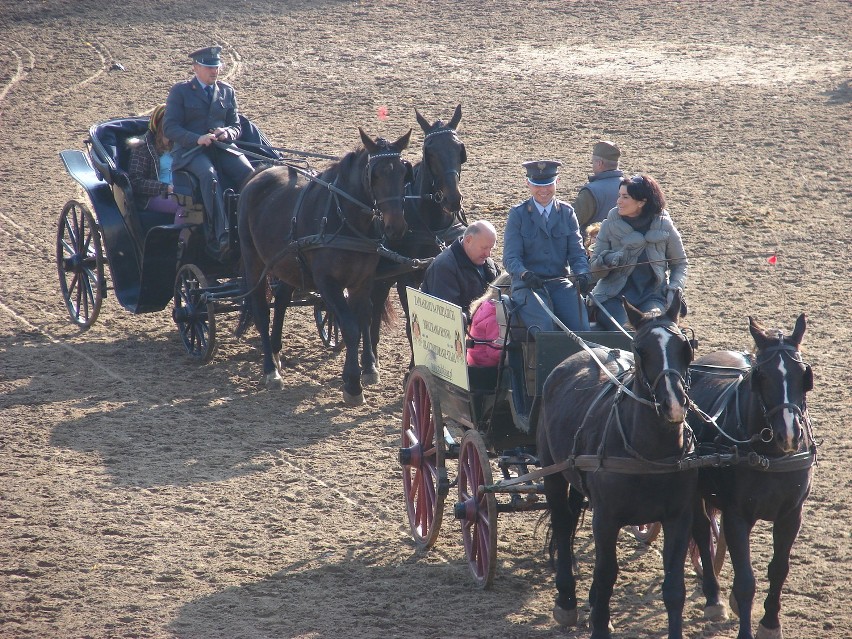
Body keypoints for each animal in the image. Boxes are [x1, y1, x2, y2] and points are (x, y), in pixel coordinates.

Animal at [238, 127, 414, 402]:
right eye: (375, 175)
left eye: (404, 173)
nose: (395, 227)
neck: (345, 221)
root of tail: (261, 172)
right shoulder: (327, 283)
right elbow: (350, 327)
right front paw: (352, 385)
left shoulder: (362, 281)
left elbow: (362, 319)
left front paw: (368, 369)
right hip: (253, 260)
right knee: (261, 311)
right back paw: (270, 370)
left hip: (287, 263)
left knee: (281, 300)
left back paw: (277, 352)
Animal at [372, 105, 470, 370]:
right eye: (430, 152)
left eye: (459, 149)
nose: (453, 199)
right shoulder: (405, 276)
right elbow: (411, 322)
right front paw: (414, 365)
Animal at [540, 292, 700, 639]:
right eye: (641, 350)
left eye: (686, 347)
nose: (673, 404)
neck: (651, 455)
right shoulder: (606, 518)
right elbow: (606, 572)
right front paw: (599, 624)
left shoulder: (679, 516)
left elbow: (674, 586)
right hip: (553, 473)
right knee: (562, 523)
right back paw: (567, 600)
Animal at [688, 316, 816, 639]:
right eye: (762, 376)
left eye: (803, 375)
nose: (789, 435)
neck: (771, 454)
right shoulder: (737, 515)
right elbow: (746, 581)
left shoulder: (791, 514)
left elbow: (779, 569)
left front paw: (770, 624)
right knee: (701, 531)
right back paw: (714, 599)